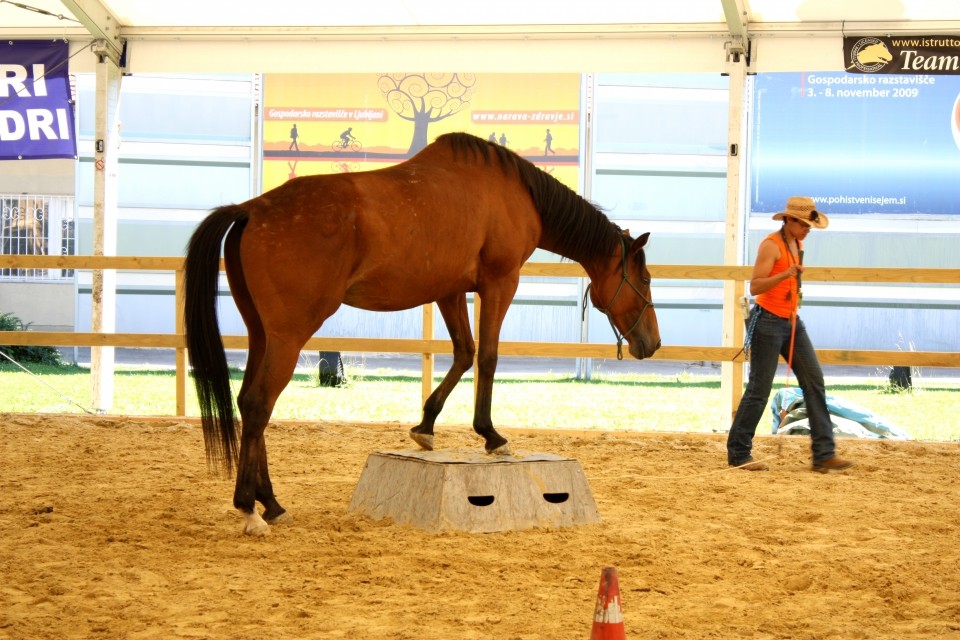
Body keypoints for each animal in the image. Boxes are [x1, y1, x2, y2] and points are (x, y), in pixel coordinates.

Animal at [183, 131, 660, 536]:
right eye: (646, 278)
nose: (652, 343)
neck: (515, 192)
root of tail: (251, 209)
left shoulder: (450, 290)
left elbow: (464, 352)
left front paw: (426, 426)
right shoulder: (500, 282)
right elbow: (487, 357)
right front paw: (491, 436)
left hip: (261, 334)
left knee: (248, 402)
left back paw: (271, 503)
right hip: (288, 336)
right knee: (259, 404)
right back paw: (249, 509)